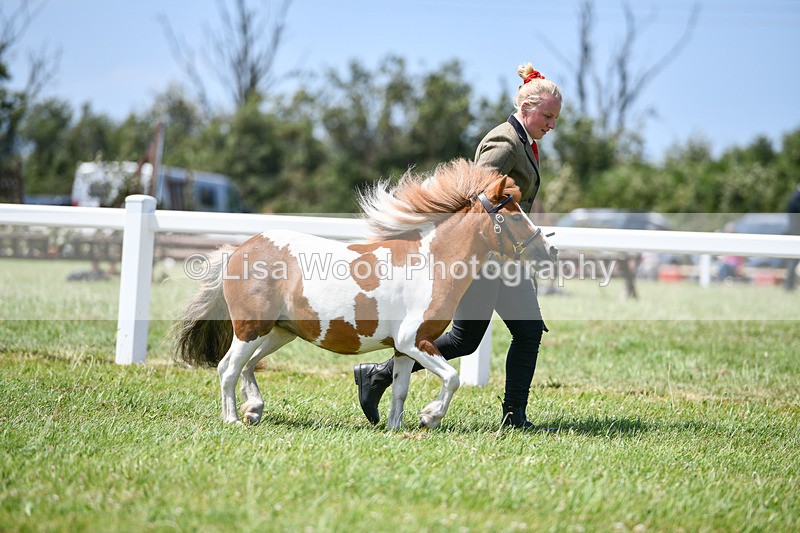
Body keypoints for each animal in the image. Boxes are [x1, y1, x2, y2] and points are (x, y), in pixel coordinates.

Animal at [173, 158, 558, 430]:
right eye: (514, 216)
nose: (548, 252)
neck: (432, 264)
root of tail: (238, 250)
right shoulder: (414, 340)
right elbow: (452, 377)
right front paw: (430, 416)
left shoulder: (403, 348)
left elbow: (401, 389)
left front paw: (395, 427)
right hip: (250, 328)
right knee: (228, 368)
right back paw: (233, 419)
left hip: (280, 331)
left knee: (249, 365)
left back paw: (254, 409)